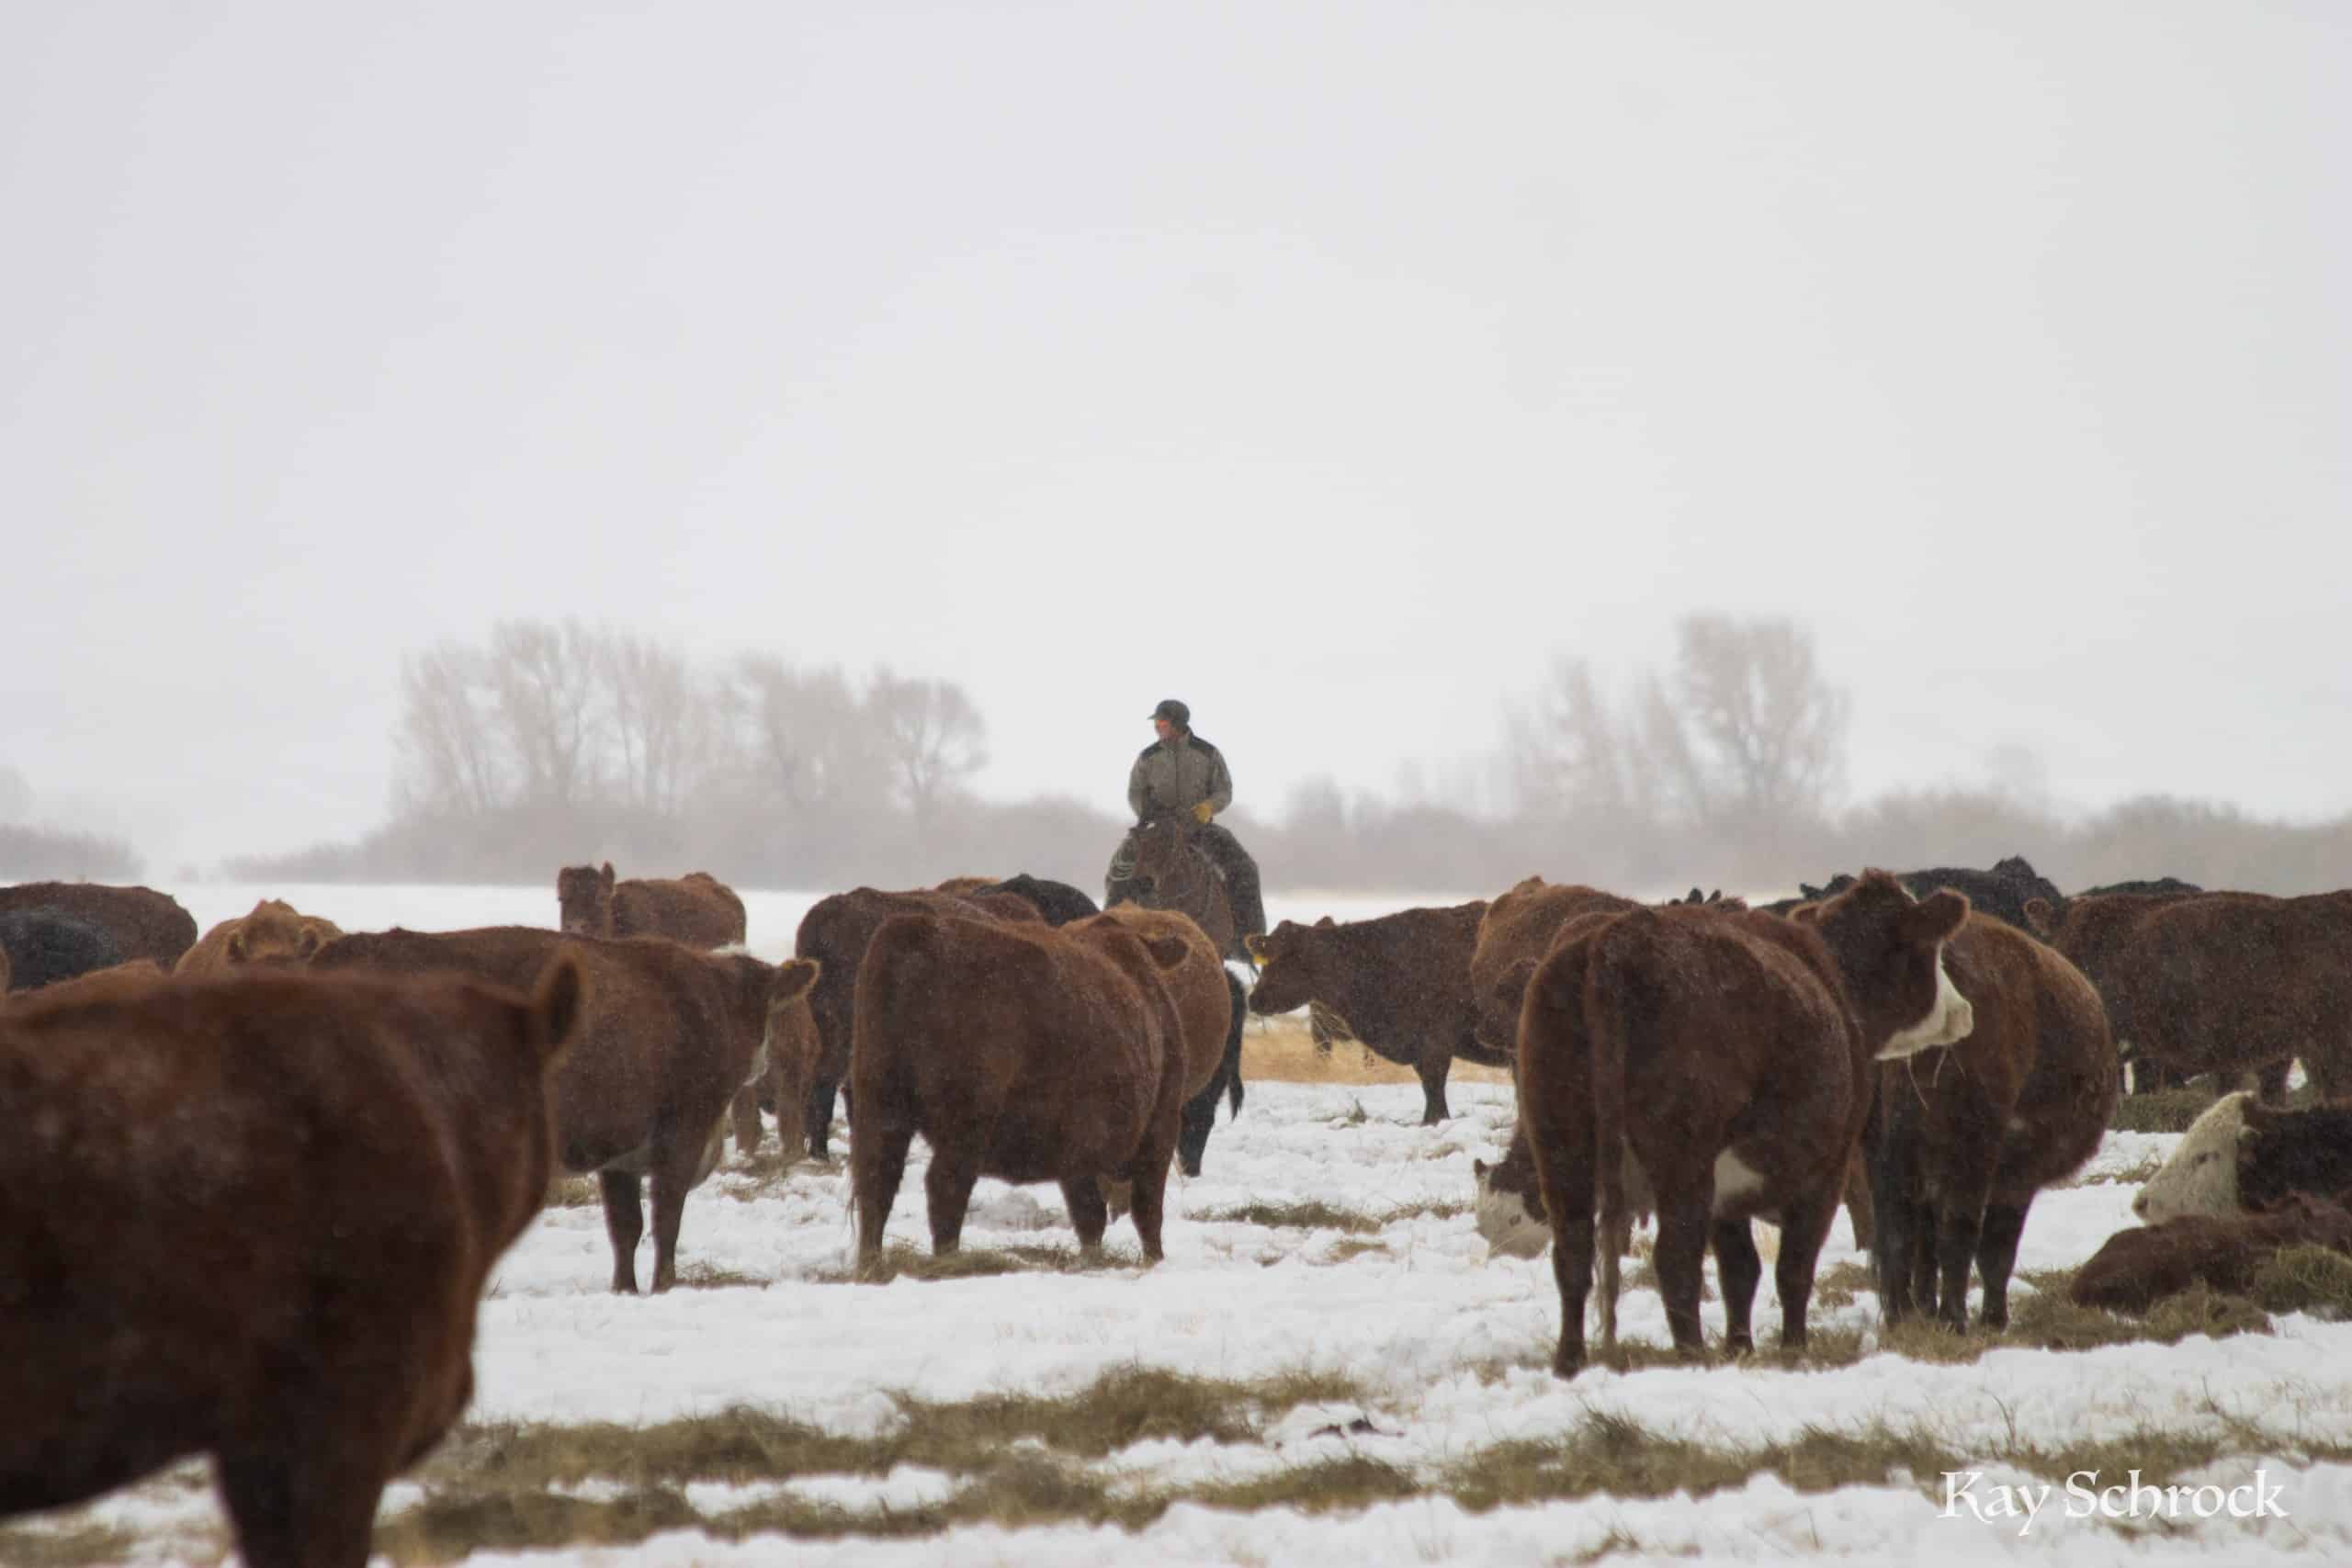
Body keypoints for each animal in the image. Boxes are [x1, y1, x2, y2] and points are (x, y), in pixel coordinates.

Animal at [312, 926, 816, 1294]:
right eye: (768, 1009)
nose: (761, 1063)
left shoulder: (620, 1151)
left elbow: (626, 1227)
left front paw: (625, 1290)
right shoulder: (682, 1134)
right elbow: (665, 1220)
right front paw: (664, 1286)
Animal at [850, 911, 1190, 1265]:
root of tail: (916, 930)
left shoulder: (1079, 1149)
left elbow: (1090, 1215)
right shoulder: (1159, 1126)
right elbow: (1142, 1210)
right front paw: (1153, 1260)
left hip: (879, 1101)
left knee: (876, 1179)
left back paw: (871, 1263)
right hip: (966, 1118)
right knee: (945, 1184)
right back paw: (949, 1260)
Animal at [1514, 872, 1974, 1377]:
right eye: (1931, 949)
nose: (1963, 1010)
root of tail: (1615, 939)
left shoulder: (1727, 1194)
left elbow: (1741, 1270)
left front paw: (1741, 1347)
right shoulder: (1826, 1171)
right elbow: (1794, 1266)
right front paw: (1793, 1348)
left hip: (1561, 1142)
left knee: (1573, 1253)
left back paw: (1570, 1360)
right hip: (1683, 1158)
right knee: (1675, 1257)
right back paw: (1691, 1356)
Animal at [1861, 910, 2117, 1330]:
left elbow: (1922, 1244)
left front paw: (1925, 1307)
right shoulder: (2010, 1170)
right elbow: (1992, 1246)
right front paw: (1991, 1318)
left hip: (1889, 1155)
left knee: (1899, 1231)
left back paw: (1903, 1315)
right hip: (1971, 1155)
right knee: (1958, 1232)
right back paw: (1954, 1318)